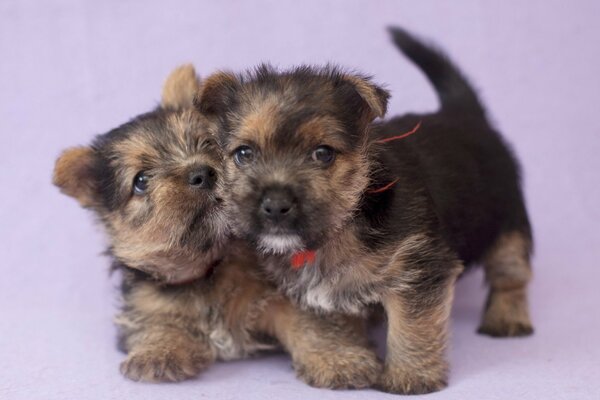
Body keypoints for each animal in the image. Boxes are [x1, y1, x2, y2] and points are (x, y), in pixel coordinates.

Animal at [51, 65, 380, 388]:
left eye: (207, 143)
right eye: (141, 181)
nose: (202, 173)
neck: (210, 267)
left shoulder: (285, 291)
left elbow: (310, 322)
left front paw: (338, 359)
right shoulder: (148, 303)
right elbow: (159, 322)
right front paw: (158, 352)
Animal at [198, 28, 536, 394]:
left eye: (323, 153)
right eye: (244, 154)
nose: (275, 206)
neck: (346, 222)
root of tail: (466, 116)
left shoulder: (419, 268)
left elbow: (412, 324)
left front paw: (410, 376)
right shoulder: (315, 292)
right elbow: (325, 327)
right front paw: (342, 361)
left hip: (510, 221)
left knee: (510, 274)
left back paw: (507, 317)